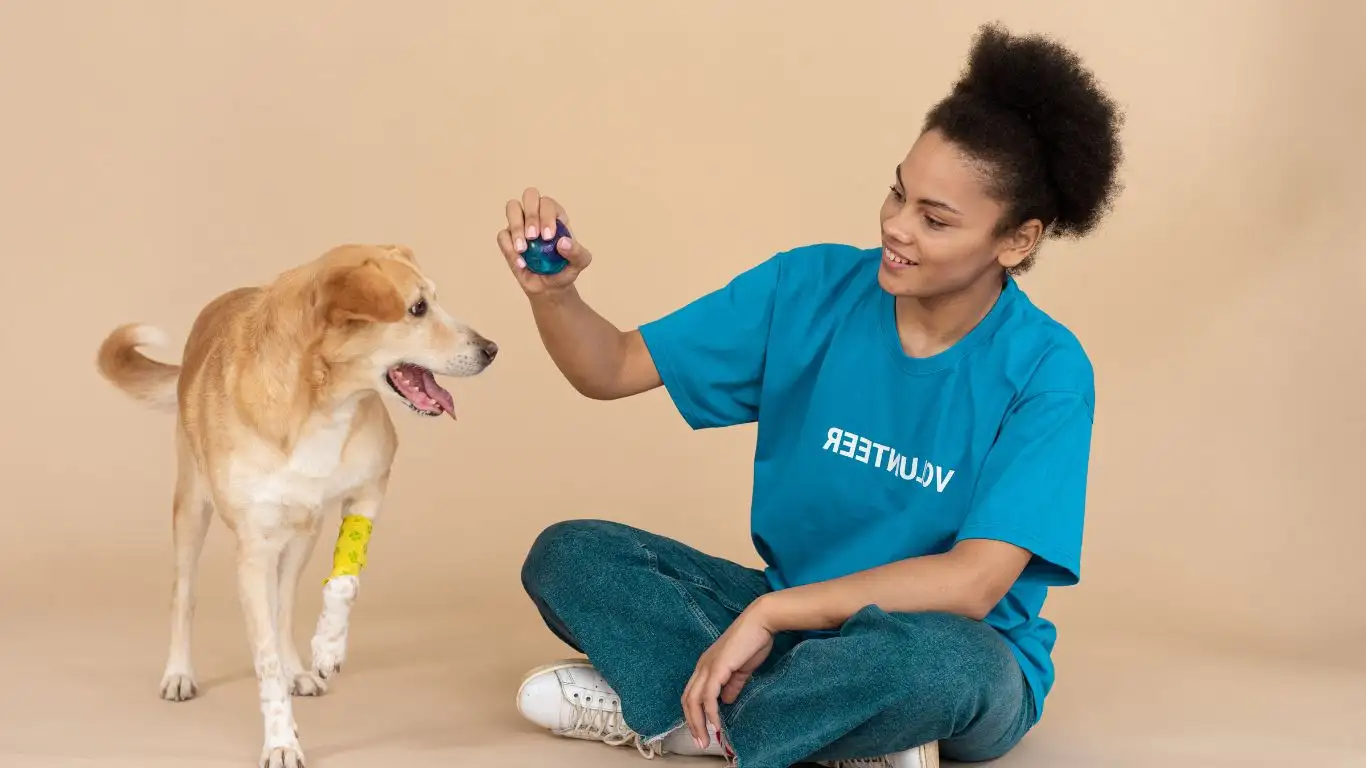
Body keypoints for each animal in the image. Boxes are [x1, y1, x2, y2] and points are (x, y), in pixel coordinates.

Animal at [97, 243, 502, 765]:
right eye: (417, 308)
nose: (491, 349)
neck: (320, 403)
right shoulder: (252, 550)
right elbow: (263, 660)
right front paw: (281, 739)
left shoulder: (371, 486)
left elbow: (343, 583)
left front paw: (327, 647)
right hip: (191, 508)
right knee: (186, 595)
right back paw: (179, 673)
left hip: (304, 532)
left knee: (284, 602)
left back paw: (298, 665)